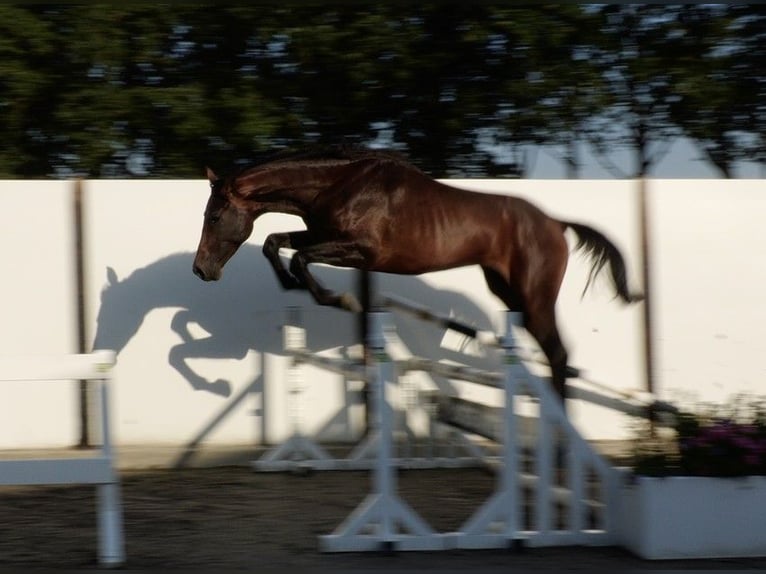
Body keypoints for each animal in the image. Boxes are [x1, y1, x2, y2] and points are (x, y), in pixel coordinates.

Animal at [193, 145, 643, 401]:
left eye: (214, 217)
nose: (201, 270)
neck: (337, 184)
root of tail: (556, 223)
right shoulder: (321, 235)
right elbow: (275, 243)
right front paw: (289, 285)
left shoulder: (360, 250)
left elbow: (300, 259)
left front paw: (341, 300)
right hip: (507, 291)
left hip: (535, 298)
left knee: (558, 353)